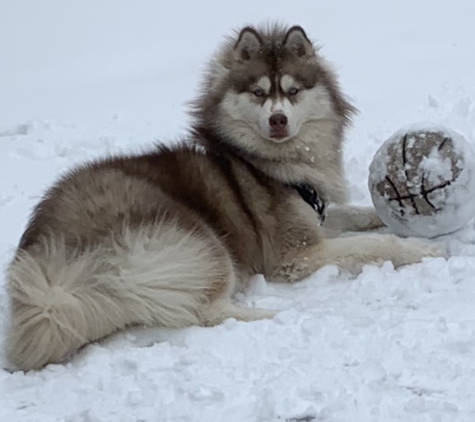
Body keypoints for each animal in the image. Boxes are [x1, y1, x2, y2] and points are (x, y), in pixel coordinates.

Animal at [4, 24, 446, 370]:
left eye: (292, 90)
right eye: (258, 93)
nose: (278, 119)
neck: (267, 164)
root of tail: (50, 263)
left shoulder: (314, 215)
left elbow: (354, 216)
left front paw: (382, 216)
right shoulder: (295, 255)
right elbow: (374, 244)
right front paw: (424, 250)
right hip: (202, 243)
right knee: (207, 311)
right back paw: (273, 313)